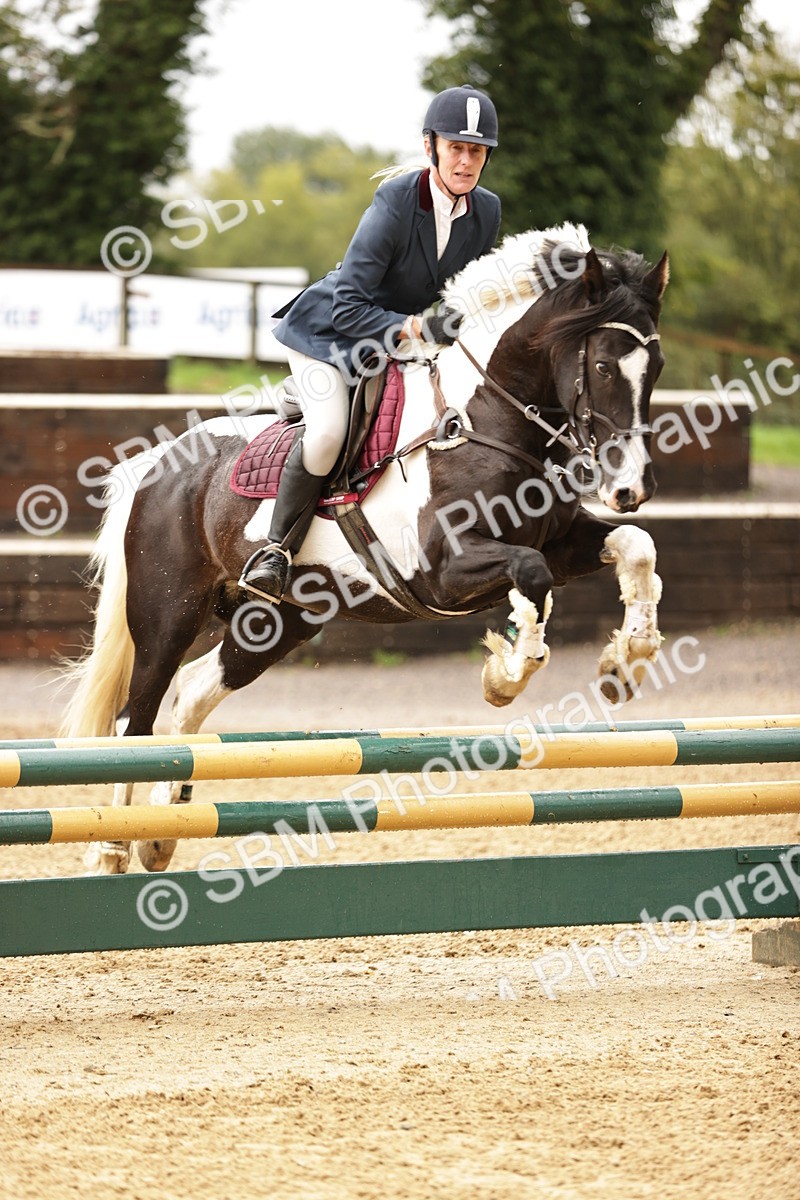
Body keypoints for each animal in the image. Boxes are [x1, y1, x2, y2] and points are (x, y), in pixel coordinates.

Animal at [62, 222, 669, 875]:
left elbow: (635, 545)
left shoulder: (555, 540)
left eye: (656, 365)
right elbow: (531, 578)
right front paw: (506, 676)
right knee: (136, 718)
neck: (482, 421)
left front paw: (628, 658)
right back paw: (113, 847)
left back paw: (161, 833)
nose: (630, 488)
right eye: (603, 364)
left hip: (282, 620)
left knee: (195, 691)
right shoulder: (444, 570)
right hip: (168, 613)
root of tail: (159, 464)